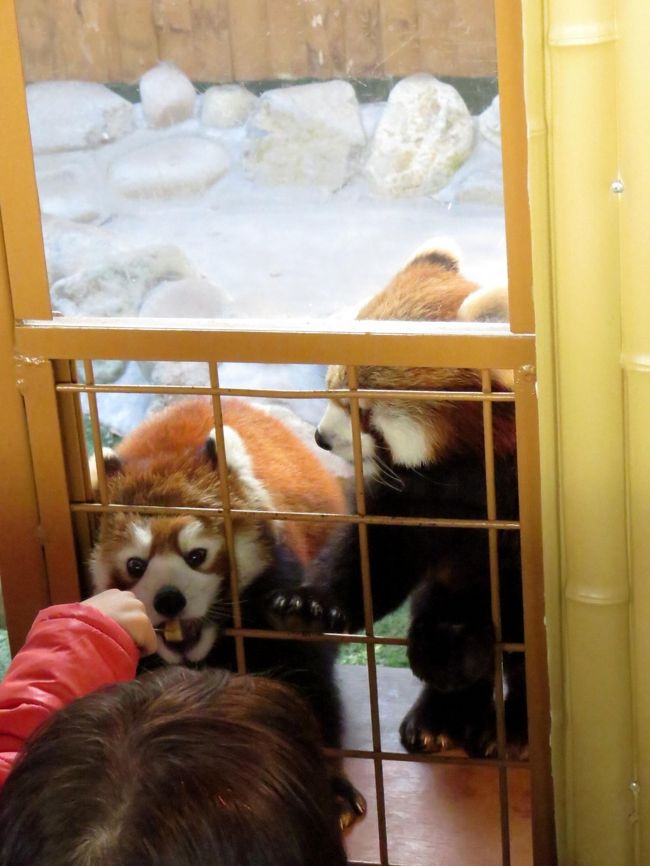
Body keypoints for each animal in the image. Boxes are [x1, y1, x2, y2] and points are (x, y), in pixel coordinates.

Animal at [266, 241, 524, 756]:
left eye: (361, 408)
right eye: (330, 387)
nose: (321, 439)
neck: (467, 467)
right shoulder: (416, 494)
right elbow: (377, 554)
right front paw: (310, 604)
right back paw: (440, 710)